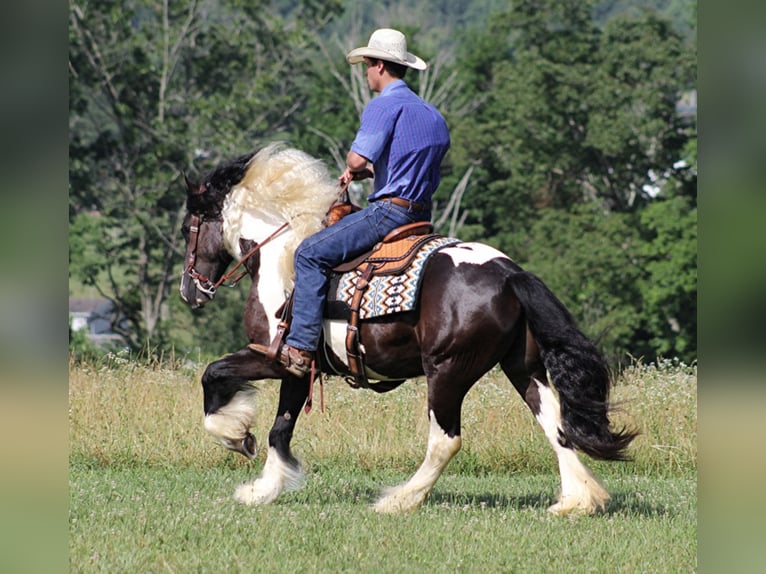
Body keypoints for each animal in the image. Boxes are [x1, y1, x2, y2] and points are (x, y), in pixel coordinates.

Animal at [180, 145, 636, 516]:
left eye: (187, 228)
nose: (190, 290)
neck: (283, 255)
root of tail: (510, 274)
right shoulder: (299, 369)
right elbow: (280, 429)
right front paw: (264, 489)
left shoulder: (274, 356)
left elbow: (213, 374)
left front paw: (236, 436)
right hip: (522, 368)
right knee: (556, 425)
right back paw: (578, 500)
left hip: (448, 372)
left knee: (446, 440)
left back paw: (399, 499)